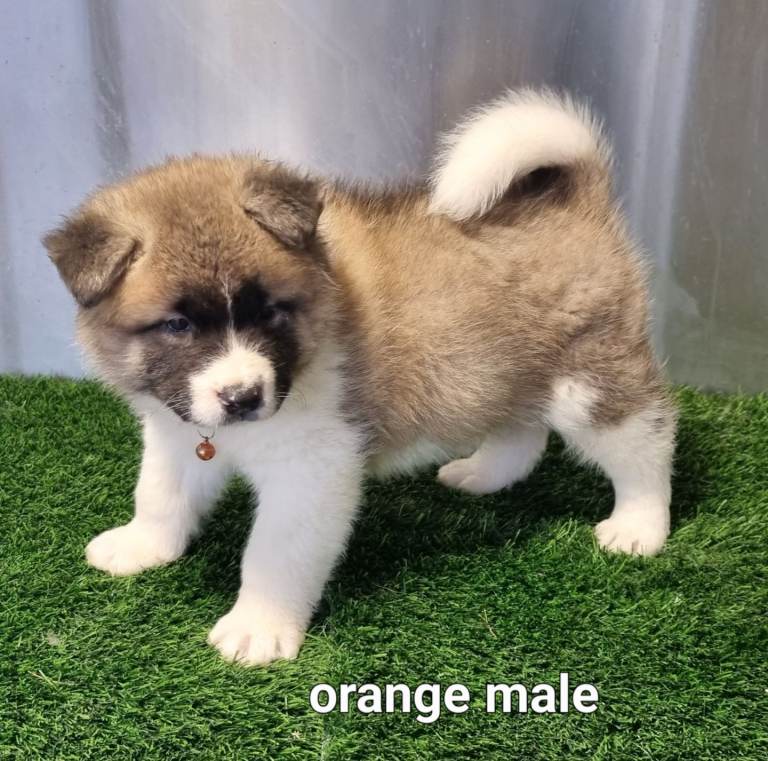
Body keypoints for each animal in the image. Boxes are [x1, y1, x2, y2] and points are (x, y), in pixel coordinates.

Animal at [45, 90, 675, 665]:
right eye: (176, 325)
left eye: (268, 311)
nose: (244, 396)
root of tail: (578, 196)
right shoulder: (177, 436)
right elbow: (158, 493)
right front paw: (143, 544)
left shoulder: (313, 469)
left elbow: (274, 552)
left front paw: (258, 626)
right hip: (501, 368)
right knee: (522, 428)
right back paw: (483, 474)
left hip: (589, 380)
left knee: (647, 440)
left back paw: (639, 526)